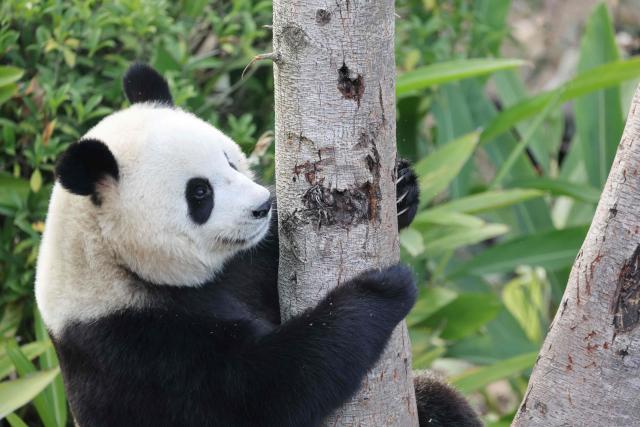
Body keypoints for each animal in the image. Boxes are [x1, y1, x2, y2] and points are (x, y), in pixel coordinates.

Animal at [35, 63, 481, 427]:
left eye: (230, 161)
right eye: (200, 193)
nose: (263, 206)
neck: (113, 259)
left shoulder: (246, 263)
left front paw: (403, 190)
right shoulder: (137, 345)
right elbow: (262, 391)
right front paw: (380, 291)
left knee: (440, 401)